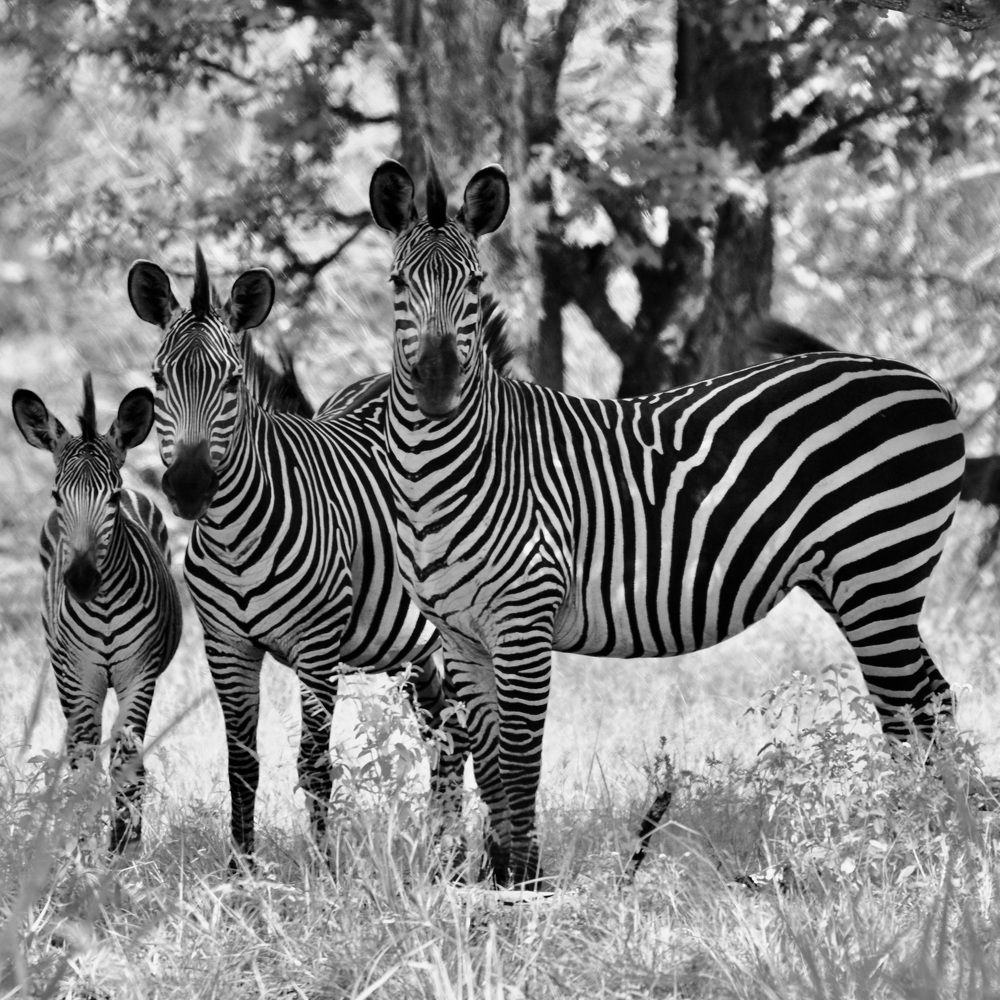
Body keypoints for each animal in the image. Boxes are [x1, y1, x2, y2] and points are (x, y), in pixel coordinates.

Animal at [12, 374, 182, 851]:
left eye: (113, 495)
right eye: (56, 495)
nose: (83, 581)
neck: (102, 608)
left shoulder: (138, 675)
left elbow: (126, 764)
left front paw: (123, 847)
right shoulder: (79, 679)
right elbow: (83, 767)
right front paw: (85, 850)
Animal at [126, 246, 467, 865]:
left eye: (233, 381)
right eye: (159, 379)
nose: (189, 486)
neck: (235, 535)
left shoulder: (317, 645)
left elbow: (314, 764)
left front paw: (325, 868)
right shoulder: (226, 646)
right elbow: (241, 764)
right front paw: (241, 868)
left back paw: (454, 854)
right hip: (412, 646)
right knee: (443, 730)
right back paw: (439, 847)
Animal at [368, 158, 966, 886]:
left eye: (476, 284)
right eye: (397, 283)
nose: (436, 387)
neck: (439, 473)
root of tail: (920, 379)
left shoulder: (524, 620)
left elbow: (519, 754)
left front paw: (525, 881)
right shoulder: (461, 635)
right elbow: (487, 758)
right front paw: (495, 874)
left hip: (879, 568)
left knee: (909, 707)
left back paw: (910, 844)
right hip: (851, 581)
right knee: (931, 697)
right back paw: (950, 831)